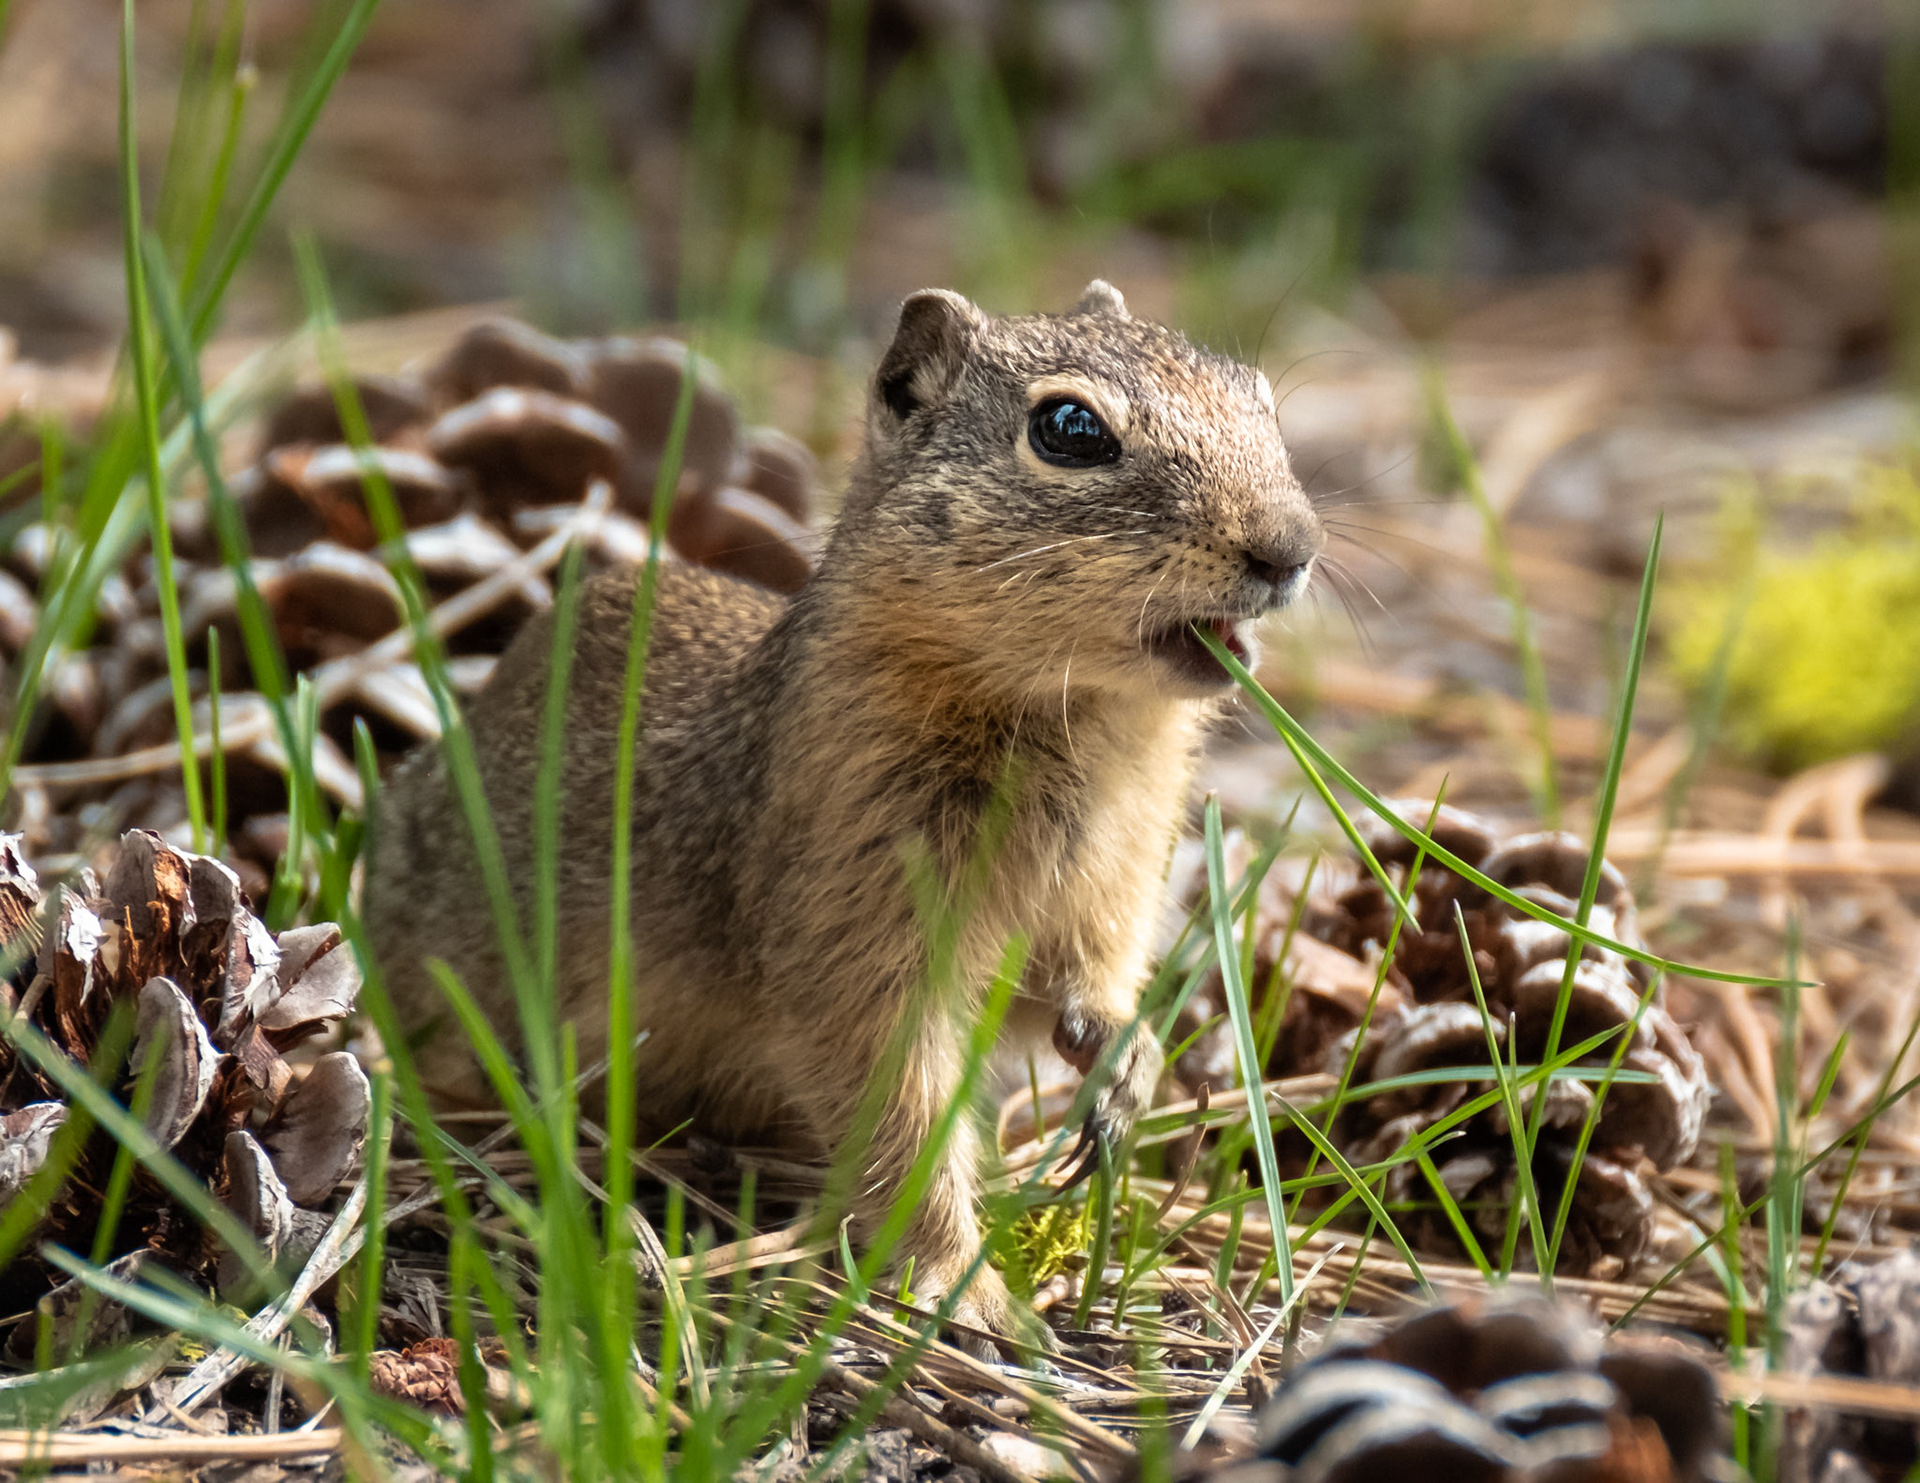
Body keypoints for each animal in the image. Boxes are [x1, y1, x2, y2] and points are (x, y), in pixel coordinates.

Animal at [361, 281, 1322, 1355]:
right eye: (1069, 429)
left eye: (1260, 399)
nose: (1291, 548)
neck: (1086, 723)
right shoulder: (859, 936)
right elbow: (900, 1120)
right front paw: (968, 1294)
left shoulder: (1101, 897)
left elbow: (1079, 992)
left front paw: (1123, 1065)